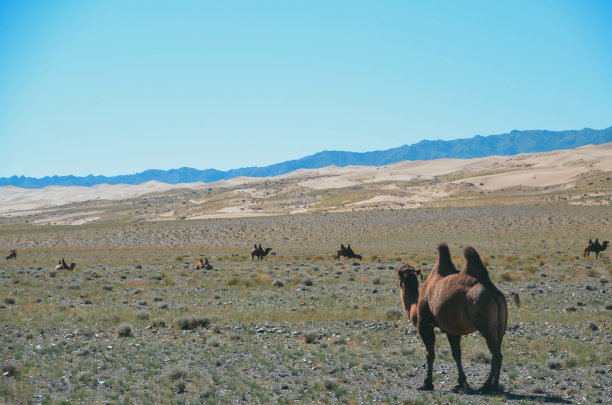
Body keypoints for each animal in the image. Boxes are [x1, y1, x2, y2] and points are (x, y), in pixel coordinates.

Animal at [394, 243, 520, 392]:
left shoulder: (424, 325)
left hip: (485, 324)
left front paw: (427, 383)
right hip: (501, 326)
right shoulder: (452, 328)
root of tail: (496, 294)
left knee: (496, 355)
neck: (415, 305)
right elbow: (456, 354)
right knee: (497, 349)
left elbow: (430, 353)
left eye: (398, 272)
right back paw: (486, 385)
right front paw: (461, 382)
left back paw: (492, 387)